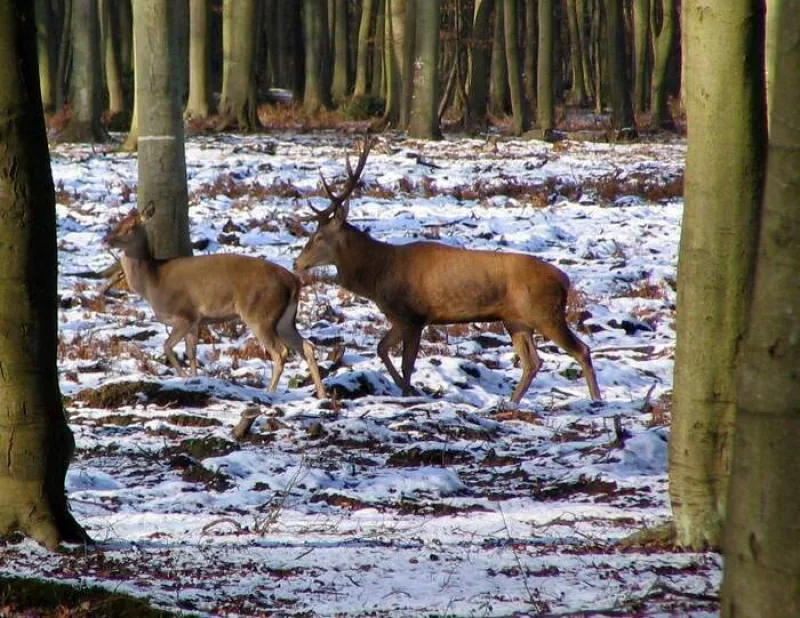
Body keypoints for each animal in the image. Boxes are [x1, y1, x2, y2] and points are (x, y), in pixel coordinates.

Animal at [105, 202, 324, 394]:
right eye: (119, 221)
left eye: (131, 226)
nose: (106, 239)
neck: (151, 283)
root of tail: (294, 282)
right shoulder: (196, 320)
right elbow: (191, 352)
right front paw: (193, 378)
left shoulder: (184, 314)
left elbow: (167, 346)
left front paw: (183, 377)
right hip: (285, 319)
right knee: (307, 346)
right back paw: (321, 394)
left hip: (261, 314)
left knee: (280, 352)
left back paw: (270, 392)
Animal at [294, 137, 600, 402]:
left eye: (319, 237)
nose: (297, 263)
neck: (379, 275)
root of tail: (564, 279)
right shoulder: (400, 317)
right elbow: (381, 349)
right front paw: (405, 388)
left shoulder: (415, 315)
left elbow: (407, 363)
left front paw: (409, 391)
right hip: (516, 320)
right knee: (533, 362)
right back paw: (510, 403)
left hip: (545, 313)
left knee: (581, 350)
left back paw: (596, 400)